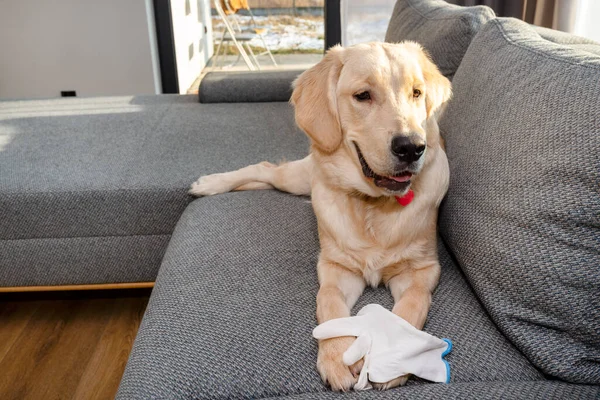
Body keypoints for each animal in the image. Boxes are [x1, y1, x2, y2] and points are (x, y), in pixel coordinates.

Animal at [191, 42, 450, 392]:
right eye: (363, 95)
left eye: (417, 93)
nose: (412, 147)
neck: (373, 206)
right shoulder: (336, 268)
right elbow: (328, 302)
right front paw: (336, 354)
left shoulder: (422, 270)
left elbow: (411, 306)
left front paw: (396, 357)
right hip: (297, 177)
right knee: (264, 168)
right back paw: (209, 184)